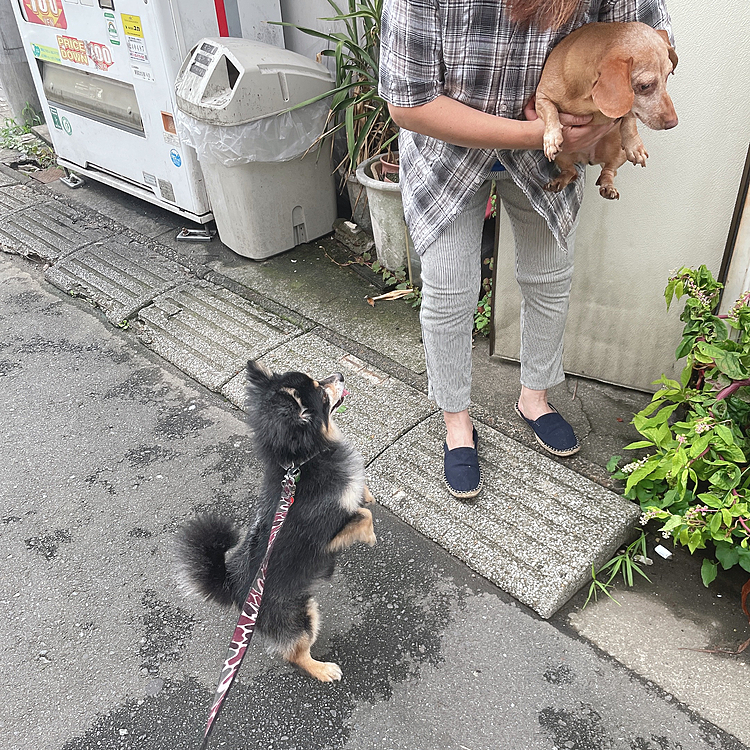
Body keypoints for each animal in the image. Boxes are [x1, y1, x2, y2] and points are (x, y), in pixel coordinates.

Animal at [176, 362, 376, 684]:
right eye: (322, 393)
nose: (340, 375)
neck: (300, 463)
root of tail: (234, 586)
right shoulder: (327, 531)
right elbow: (364, 517)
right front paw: (370, 537)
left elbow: (363, 498)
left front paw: (367, 495)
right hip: (299, 616)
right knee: (295, 653)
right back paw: (323, 669)